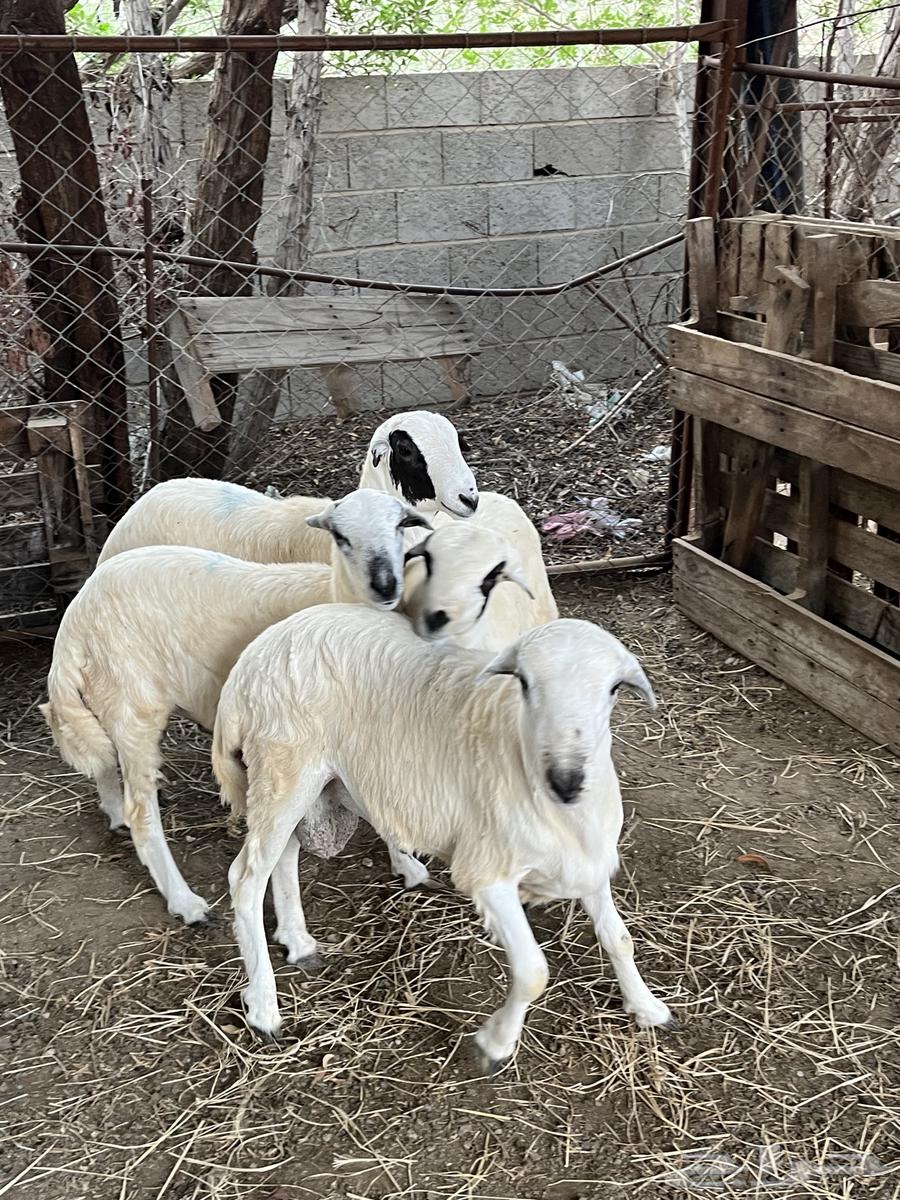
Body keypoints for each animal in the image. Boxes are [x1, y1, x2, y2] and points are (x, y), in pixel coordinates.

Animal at [40, 490, 430, 926]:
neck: (332, 596)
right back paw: (184, 900)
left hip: (109, 698)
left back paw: (115, 813)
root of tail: (72, 622)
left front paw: (405, 862)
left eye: (400, 525)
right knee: (140, 810)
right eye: (341, 536)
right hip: (132, 704)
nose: (385, 584)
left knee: (100, 752)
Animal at [213, 606, 675, 1069]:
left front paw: (647, 1007)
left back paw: (298, 939)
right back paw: (264, 1006)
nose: (566, 781)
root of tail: (255, 654)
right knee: (247, 877)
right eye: (524, 682)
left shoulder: (589, 863)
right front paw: (495, 1043)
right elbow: (533, 971)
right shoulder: (486, 872)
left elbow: (620, 939)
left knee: (285, 854)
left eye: (614, 688)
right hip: (284, 767)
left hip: (306, 781)